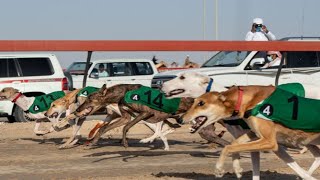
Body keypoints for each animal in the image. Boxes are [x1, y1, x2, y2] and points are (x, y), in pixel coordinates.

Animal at [182, 84, 320, 180]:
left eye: (201, 103)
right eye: (193, 102)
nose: (180, 118)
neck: (248, 100)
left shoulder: (270, 142)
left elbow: (228, 147)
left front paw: (219, 169)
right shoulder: (254, 134)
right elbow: (233, 144)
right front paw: (237, 168)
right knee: (317, 157)